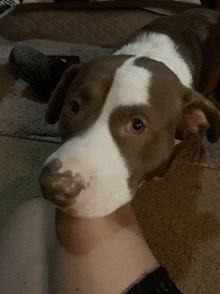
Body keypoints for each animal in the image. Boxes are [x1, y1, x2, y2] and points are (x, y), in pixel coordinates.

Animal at [39, 8, 220, 218]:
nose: (54, 186)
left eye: (137, 126)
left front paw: (160, 172)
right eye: (74, 107)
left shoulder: (185, 136)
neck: (148, 53)